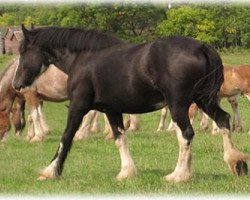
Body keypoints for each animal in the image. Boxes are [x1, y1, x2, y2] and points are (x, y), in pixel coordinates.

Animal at [12, 24, 248, 181]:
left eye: (24, 51)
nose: (17, 84)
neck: (84, 59)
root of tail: (201, 46)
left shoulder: (78, 106)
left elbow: (66, 137)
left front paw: (51, 170)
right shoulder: (111, 110)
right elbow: (119, 138)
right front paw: (126, 172)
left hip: (179, 104)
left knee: (186, 134)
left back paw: (178, 175)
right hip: (203, 100)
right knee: (223, 120)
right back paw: (236, 163)